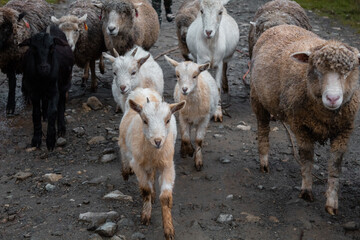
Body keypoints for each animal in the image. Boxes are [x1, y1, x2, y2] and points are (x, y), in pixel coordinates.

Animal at [119, 87, 186, 240]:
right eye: (144, 120)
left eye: (168, 120)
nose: (158, 141)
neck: (153, 153)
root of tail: (143, 90)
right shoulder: (138, 165)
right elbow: (145, 189)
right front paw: (146, 215)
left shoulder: (168, 165)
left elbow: (165, 197)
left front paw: (168, 229)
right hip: (124, 140)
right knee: (124, 153)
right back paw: (125, 172)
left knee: (152, 174)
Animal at [250, 24, 360, 216]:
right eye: (317, 70)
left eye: (348, 72)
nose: (332, 98)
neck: (326, 115)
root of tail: (281, 25)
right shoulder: (300, 126)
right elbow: (307, 159)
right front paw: (306, 191)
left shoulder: (344, 131)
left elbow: (335, 166)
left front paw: (332, 203)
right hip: (258, 97)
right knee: (263, 129)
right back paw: (264, 162)